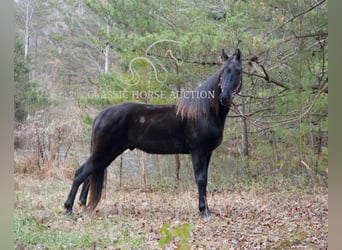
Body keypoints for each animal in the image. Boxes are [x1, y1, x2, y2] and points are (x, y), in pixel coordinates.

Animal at [64, 48, 243, 217]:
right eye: (222, 72)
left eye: (238, 71)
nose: (225, 97)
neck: (204, 112)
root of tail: (100, 115)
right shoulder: (198, 151)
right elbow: (201, 180)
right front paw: (204, 211)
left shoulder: (207, 153)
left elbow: (204, 178)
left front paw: (204, 209)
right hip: (103, 152)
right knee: (80, 173)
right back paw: (67, 209)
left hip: (108, 154)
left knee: (89, 173)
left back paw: (82, 205)